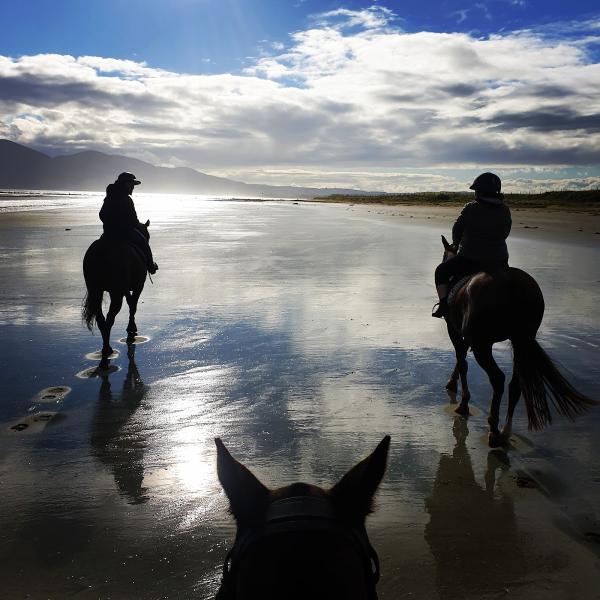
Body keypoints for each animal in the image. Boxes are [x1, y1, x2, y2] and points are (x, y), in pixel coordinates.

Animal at [82, 221, 150, 368]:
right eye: (147, 235)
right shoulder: (138, 286)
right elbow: (133, 305)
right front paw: (131, 327)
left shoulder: (126, 289)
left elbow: (131, 303)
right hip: (116, 293)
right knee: (110, 318)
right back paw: (107, 349)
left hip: (96, 291)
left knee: (101, 319)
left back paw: (105, 349)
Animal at [440, 234, 596, 446]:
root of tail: (513, 285)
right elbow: (461, 360)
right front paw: (452, 384)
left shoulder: (455, 330)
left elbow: (462, 362)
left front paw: (462, 403)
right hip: (521, 340)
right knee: (516, 384)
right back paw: (505, 431)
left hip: (483, 344)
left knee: (498, 379)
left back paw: (493, 430)